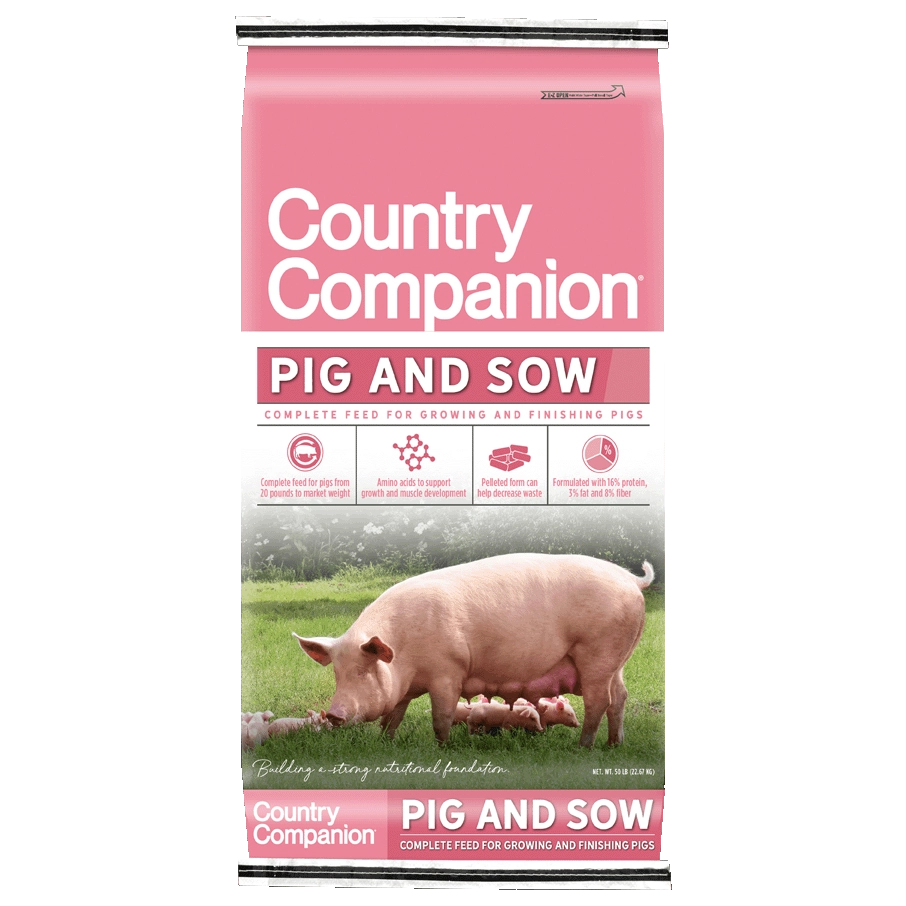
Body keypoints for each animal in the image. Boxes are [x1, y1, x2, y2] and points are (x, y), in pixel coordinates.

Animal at [293, 553, 652, 748]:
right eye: (337, 672)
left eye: (363, 670)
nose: (334, 714)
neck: (405, 655)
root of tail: (631, 580)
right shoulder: (406, 687)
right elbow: (393, 716)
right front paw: (385, 742)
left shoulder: (447, 671)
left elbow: (441, 716)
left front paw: (442, 748)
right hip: (617, 660)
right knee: (620, 697)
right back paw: (613, 745)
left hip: (598, 653)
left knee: (599, 701)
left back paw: (584, 747)